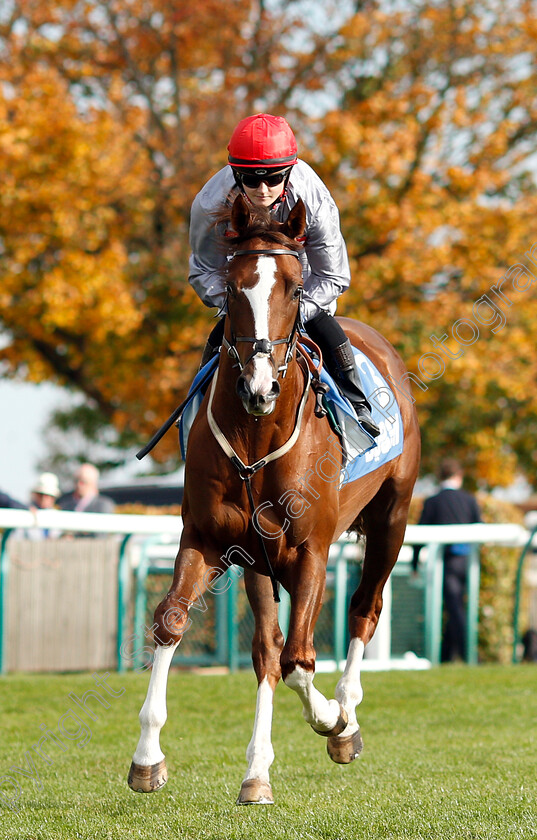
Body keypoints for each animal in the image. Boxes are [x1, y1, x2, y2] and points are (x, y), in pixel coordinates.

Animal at [127, 194, 420, 804]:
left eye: (293, 286)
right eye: (234, 286)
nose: (258, 387)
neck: (256, 438)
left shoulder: (310, 552)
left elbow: (301, 661)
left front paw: (334, 720)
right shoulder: (212, 541)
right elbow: (174, 624)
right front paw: (147, 757)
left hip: (392, 519)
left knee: (364, 609)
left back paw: (346, 713)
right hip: (259, 560)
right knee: (267, 648)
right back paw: (257, 771)